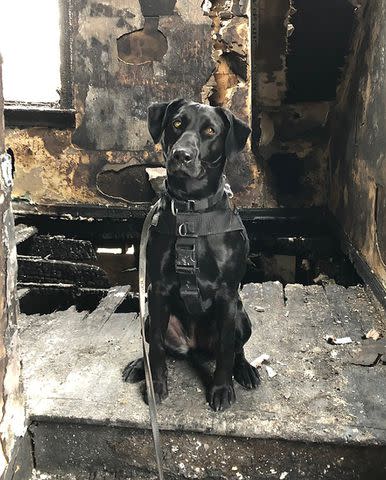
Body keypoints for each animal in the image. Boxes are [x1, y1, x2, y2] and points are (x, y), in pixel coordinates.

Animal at [123, 99, 260, 410]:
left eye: (210, 131)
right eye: (176, 123)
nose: (181, 155)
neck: (191, 211)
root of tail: (193, 345)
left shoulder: (227, 295)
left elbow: (226, 350)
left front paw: (221, 389)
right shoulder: (158, 289)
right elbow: (156, 347)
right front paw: (156, 384)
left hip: (241, 317)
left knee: (237, 348)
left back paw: (245, 370)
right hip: (149, 318)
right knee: (155, 343)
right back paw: (139, 366)